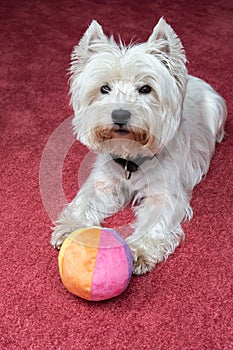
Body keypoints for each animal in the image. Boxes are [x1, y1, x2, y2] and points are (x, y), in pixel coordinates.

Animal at [50, 17, 226, 274]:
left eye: (145, 89)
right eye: (104, 88)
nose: (120, 114)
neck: (131, 159)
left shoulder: (164, 195)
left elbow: (154, 222)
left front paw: (139, 251)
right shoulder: (103, 181)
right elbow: (84, 201)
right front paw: (70, 227)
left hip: (217, 109)